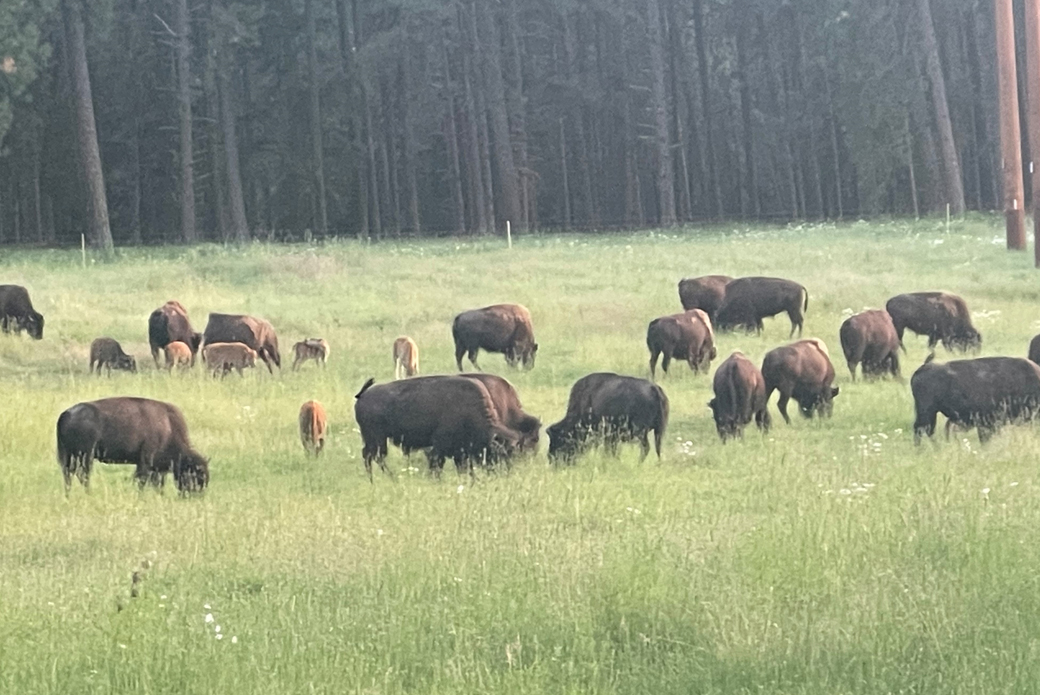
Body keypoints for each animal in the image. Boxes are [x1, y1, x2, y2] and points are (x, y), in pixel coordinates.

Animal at [56, 397, 209, 493]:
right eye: (196, 475)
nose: (194, 495)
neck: (168, 426)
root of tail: (66, 414)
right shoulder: (146, 461)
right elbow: (143, 480)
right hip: (86, 456)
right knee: (83, 474)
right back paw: (88, 492)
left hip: (70, 456)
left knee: (68, 474)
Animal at [354, 376, 522, 480]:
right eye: (497, 455)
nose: (504, 474)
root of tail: (363, 395)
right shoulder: (439, 448)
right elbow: (437, 465)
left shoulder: (460, 452)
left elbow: (463, 468)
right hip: (376, 439)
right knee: (374, 456)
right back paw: (388, 478)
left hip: (375, 440)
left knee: (372, 457)